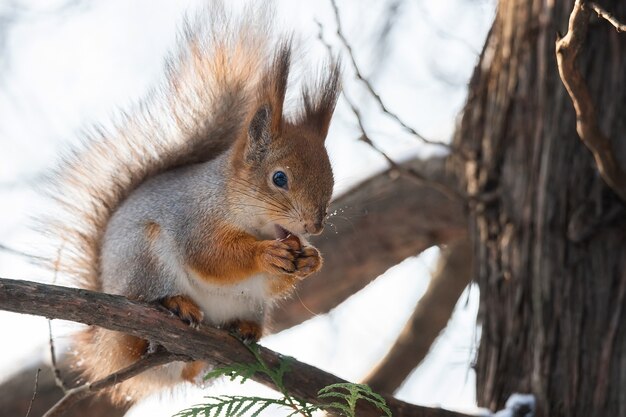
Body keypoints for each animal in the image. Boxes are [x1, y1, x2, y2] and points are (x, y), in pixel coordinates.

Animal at [44, 3, 342, 404]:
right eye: (279, 178)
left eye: (331, 178)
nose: (314, 226)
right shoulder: (193, 219)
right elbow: (210, 256)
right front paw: (264, 254)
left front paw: (311, 260)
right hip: (145, 262)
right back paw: (174, 304)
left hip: (249, 305)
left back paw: (242, 330)